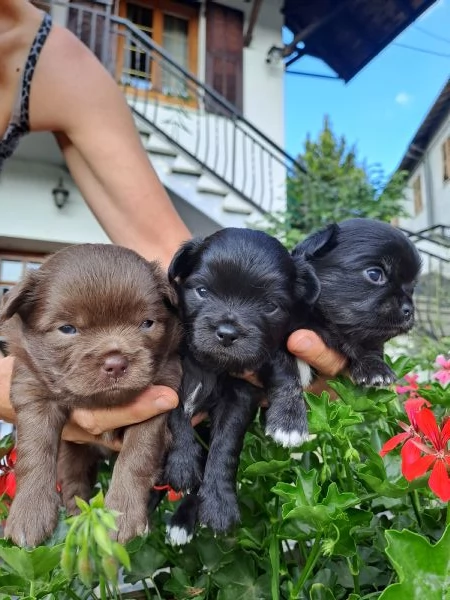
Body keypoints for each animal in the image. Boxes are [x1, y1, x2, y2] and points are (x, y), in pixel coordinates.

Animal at [0, 241, 183, 548]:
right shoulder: (33, 390)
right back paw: (78, 518)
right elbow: (35, 450)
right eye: (67, 329)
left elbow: (138, 454)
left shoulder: (161, 395)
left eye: (146, 323)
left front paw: (122, 515)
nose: (116, 363)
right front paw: (30, 513)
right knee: (73, 481)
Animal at [163, 226, 318, 544]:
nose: (227, 332)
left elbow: (225, 446)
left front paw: (220, 505)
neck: (211, 365)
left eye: (270, 306)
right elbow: (175, 414)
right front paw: (182, 463)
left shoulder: (240, 394)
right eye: (202, 291)